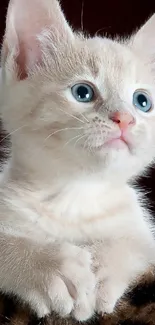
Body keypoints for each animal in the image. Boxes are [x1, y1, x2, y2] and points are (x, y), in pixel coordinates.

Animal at [0, 0, 155, 320]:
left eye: (142, 101)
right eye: (83, 92)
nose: (125, 118)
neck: (76, 194)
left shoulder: (143, 231)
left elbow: (134, 244)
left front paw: (104, 268)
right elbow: (6, 244)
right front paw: (47, 267)